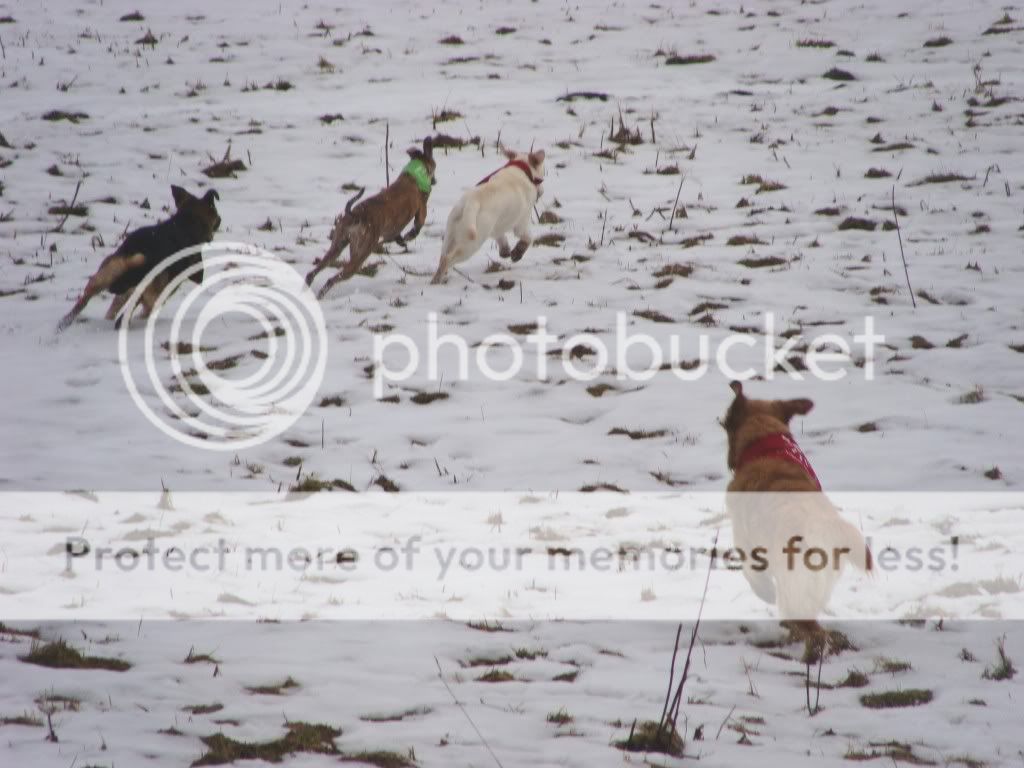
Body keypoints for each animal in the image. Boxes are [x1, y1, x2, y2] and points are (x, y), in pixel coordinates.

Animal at [56, 186, 220, 333]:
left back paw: (65, 323)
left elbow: (114, 307)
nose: (219, 221)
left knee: (85, 300)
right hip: (149, 290)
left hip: (108, 272)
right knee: (134, 311)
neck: (186, 222)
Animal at [301, 135, 434, 296]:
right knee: (333, 279)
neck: (412, 177)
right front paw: (409, 236)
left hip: (337, 246)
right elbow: (417, 227)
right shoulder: (422, 209)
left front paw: (401, 241)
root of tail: (355, 215)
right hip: (360, 254)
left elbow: (397, 235)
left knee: (313, 272)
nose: (435, 181)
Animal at [430, 148, 544, 286]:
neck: (522, 169)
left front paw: (505, 251)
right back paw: (437, 280)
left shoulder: (497, 226)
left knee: (442, 256)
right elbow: (528, 238)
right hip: (473, 241)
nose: (541, 192)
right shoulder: (522, 222)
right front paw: (517, 253)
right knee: (448, 259)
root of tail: (472, 201)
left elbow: (501, 237)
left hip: (451, 234)